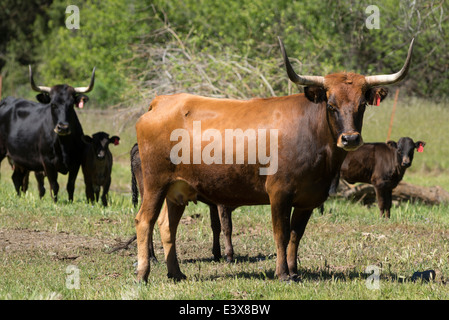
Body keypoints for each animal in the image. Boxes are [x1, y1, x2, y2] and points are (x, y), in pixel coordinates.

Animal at [0, 66, 93, 201]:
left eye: (71, 105)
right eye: (53, 104)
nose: (63, 127)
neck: (64, 145)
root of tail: (7, 100)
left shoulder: (76, 162)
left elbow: (70, 185)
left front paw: (70, 202)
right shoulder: (47, 162)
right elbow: (54, 186)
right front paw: (55, 202)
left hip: (19, 159)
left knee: (16, 178)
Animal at [133, 38, 412, 282]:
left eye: (362, 105)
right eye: (331, 105)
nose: (351, 138)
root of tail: (161, 101)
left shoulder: (307, 199)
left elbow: (296, 236)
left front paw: (295, 271)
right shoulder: (279, 193)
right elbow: (281, 234)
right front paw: (282, 274)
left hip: (177, 190)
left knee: (167, 226)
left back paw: (176, 273)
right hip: (155, 183)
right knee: (144, 221)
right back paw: (143, 275)